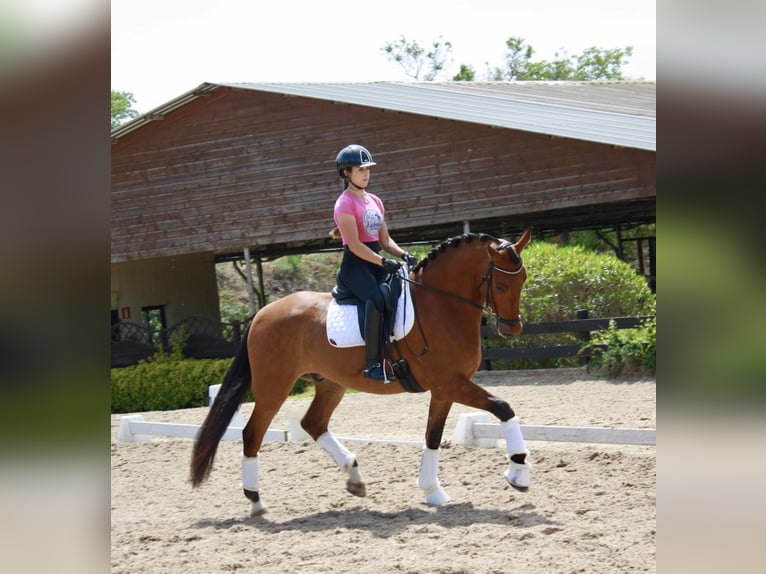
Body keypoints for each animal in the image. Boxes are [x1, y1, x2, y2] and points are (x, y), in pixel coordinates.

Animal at [192, 230, 536, 516]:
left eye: (523, 280)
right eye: (501, 284)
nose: (513, 329)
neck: (441, 304)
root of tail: (262, 313)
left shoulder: (445, 389)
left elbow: (433, 437)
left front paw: (432, 491)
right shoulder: (450, 383)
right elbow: (503, 407)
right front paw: (518, 471)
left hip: (330, 384)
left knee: (313, 423)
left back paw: (354, 476)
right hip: (273, 387)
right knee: (253, 434)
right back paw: (256, 501)